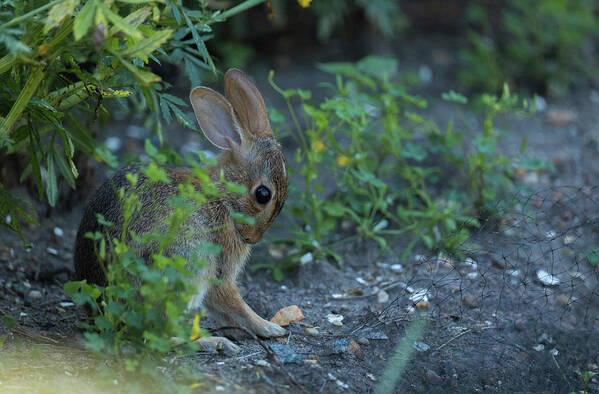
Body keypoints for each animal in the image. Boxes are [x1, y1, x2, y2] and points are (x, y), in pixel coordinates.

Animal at [74, 68, 290, 354]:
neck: (223, 196)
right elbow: (234, 304)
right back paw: (213, 342)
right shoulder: (218, 268)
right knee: (159, 335)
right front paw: (270, 327)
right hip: (185, 266)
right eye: (263, 194)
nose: (252, 239)